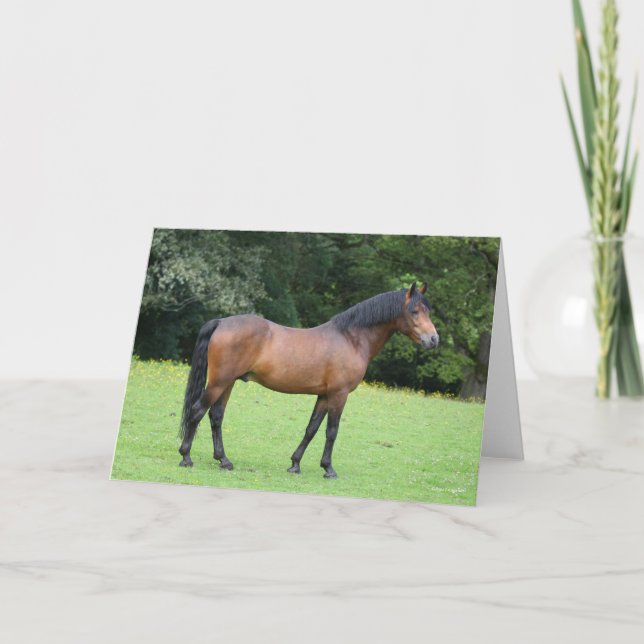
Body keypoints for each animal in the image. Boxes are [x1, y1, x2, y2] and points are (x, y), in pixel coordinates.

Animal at [178, 281, 439, 478]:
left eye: (428, 311)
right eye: (414, 311)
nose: (434, 339)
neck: (351, 338)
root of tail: (221, 322)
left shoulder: (324, 395)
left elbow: (311, 429)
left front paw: (295, 464)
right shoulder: (339, 394)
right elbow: (332, 431)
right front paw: (329, 469)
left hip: (228, 382)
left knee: (216, 416)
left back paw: (224, 460)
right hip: (220, 382)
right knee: (197, 411)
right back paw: (186, 457)